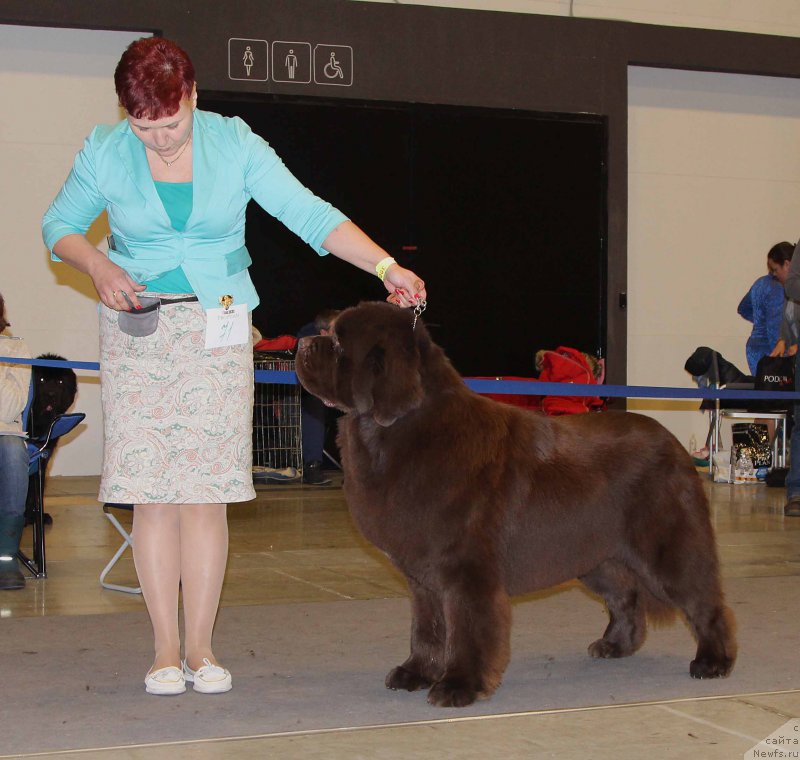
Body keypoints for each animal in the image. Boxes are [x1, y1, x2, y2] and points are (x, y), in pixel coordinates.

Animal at [296, 302, 736, 708]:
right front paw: (415, 672)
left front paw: (458, 686)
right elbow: (426, 628)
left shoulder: (467, 570)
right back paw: (614, 645)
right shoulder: (423, 577)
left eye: (338, 343)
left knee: (704, 600)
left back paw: (713, 662)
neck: (398, 432)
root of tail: (673, 442)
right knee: (626, 596)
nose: (302, 344)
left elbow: (467, 629)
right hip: (594, 554)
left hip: (665, 547)